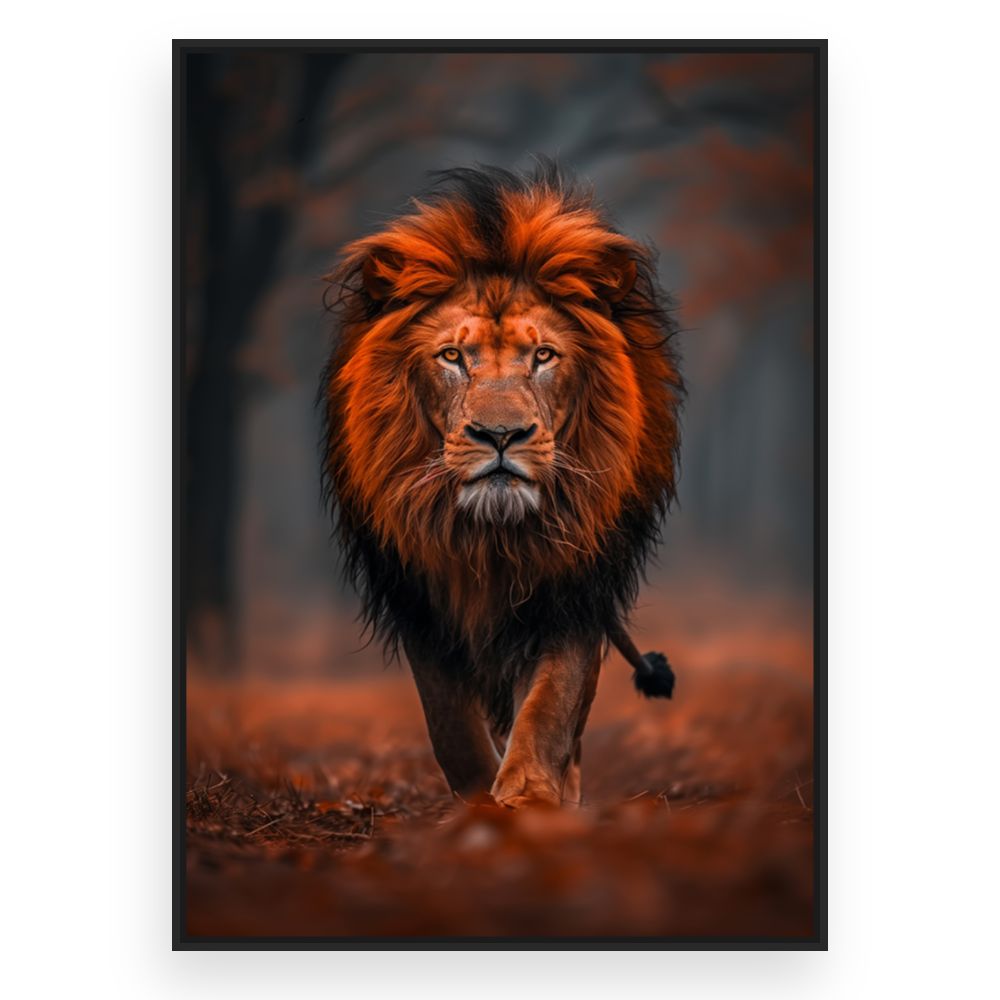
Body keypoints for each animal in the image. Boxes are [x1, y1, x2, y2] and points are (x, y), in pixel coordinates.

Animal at [321, 161, 683, 807]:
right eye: (451, 356)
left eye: (543, 356)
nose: (500, 434)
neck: (490, 538)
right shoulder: (421, 596)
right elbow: (450, 722)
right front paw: (477, 803)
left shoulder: (573, 587)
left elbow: (551, 705)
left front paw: (530, 798)